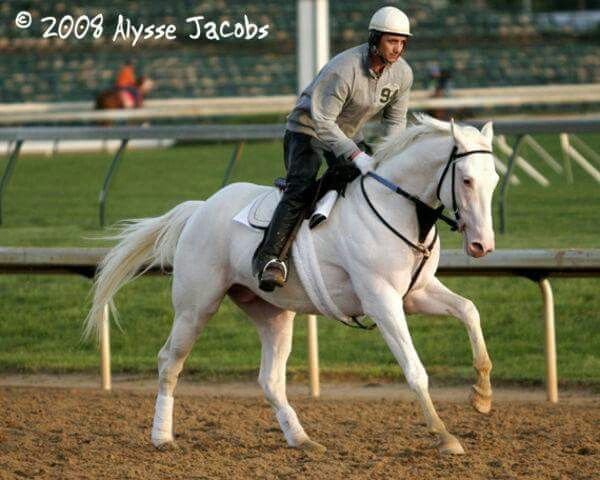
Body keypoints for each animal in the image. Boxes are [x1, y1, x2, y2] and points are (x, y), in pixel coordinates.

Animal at [84, 114, 496, 456]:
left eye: (493, 180)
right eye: (466, 179)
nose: (482, 245)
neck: (395, 207)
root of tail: (200, 208)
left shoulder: (416, 294)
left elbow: (470, 310)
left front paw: (481, 395)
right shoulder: (381, 300)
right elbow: (414, 369)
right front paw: (444, 436)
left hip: (273, 314)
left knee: (269, 379)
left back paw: (301, 439)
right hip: (195, 306)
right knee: (169, 361)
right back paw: (162, 436)